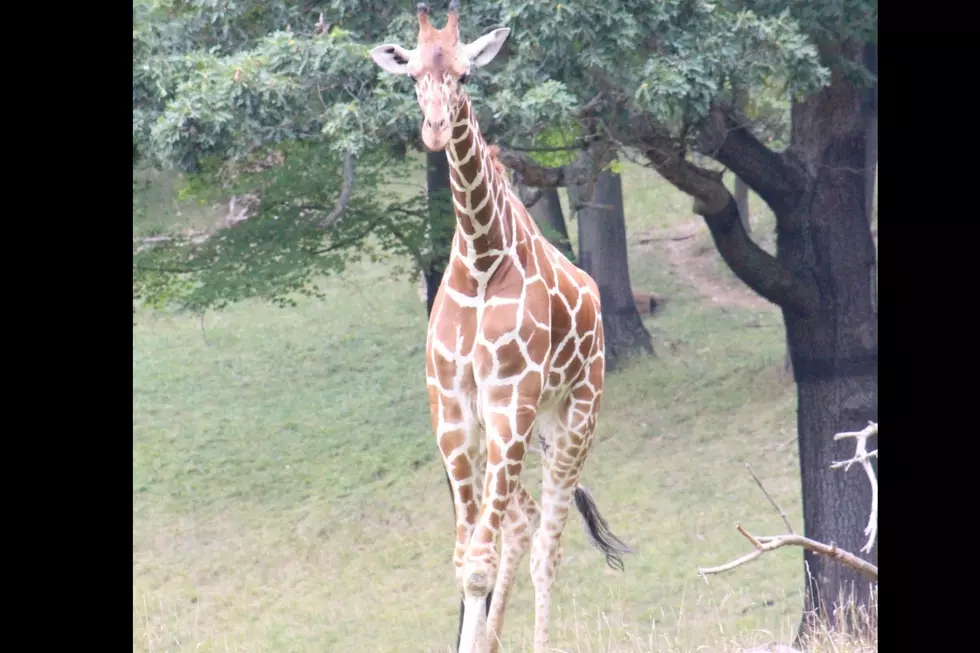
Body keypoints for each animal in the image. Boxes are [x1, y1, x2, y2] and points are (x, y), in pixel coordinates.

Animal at [372, 2, 632, 648]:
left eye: (465, 75)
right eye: (413, 76)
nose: (435, 129)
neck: (483, 259)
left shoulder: (510, 400)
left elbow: (480, 564)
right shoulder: (453, 409)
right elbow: (467, 560)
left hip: (574, 418)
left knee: (547, 547)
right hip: (516, 428)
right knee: (521, 526)